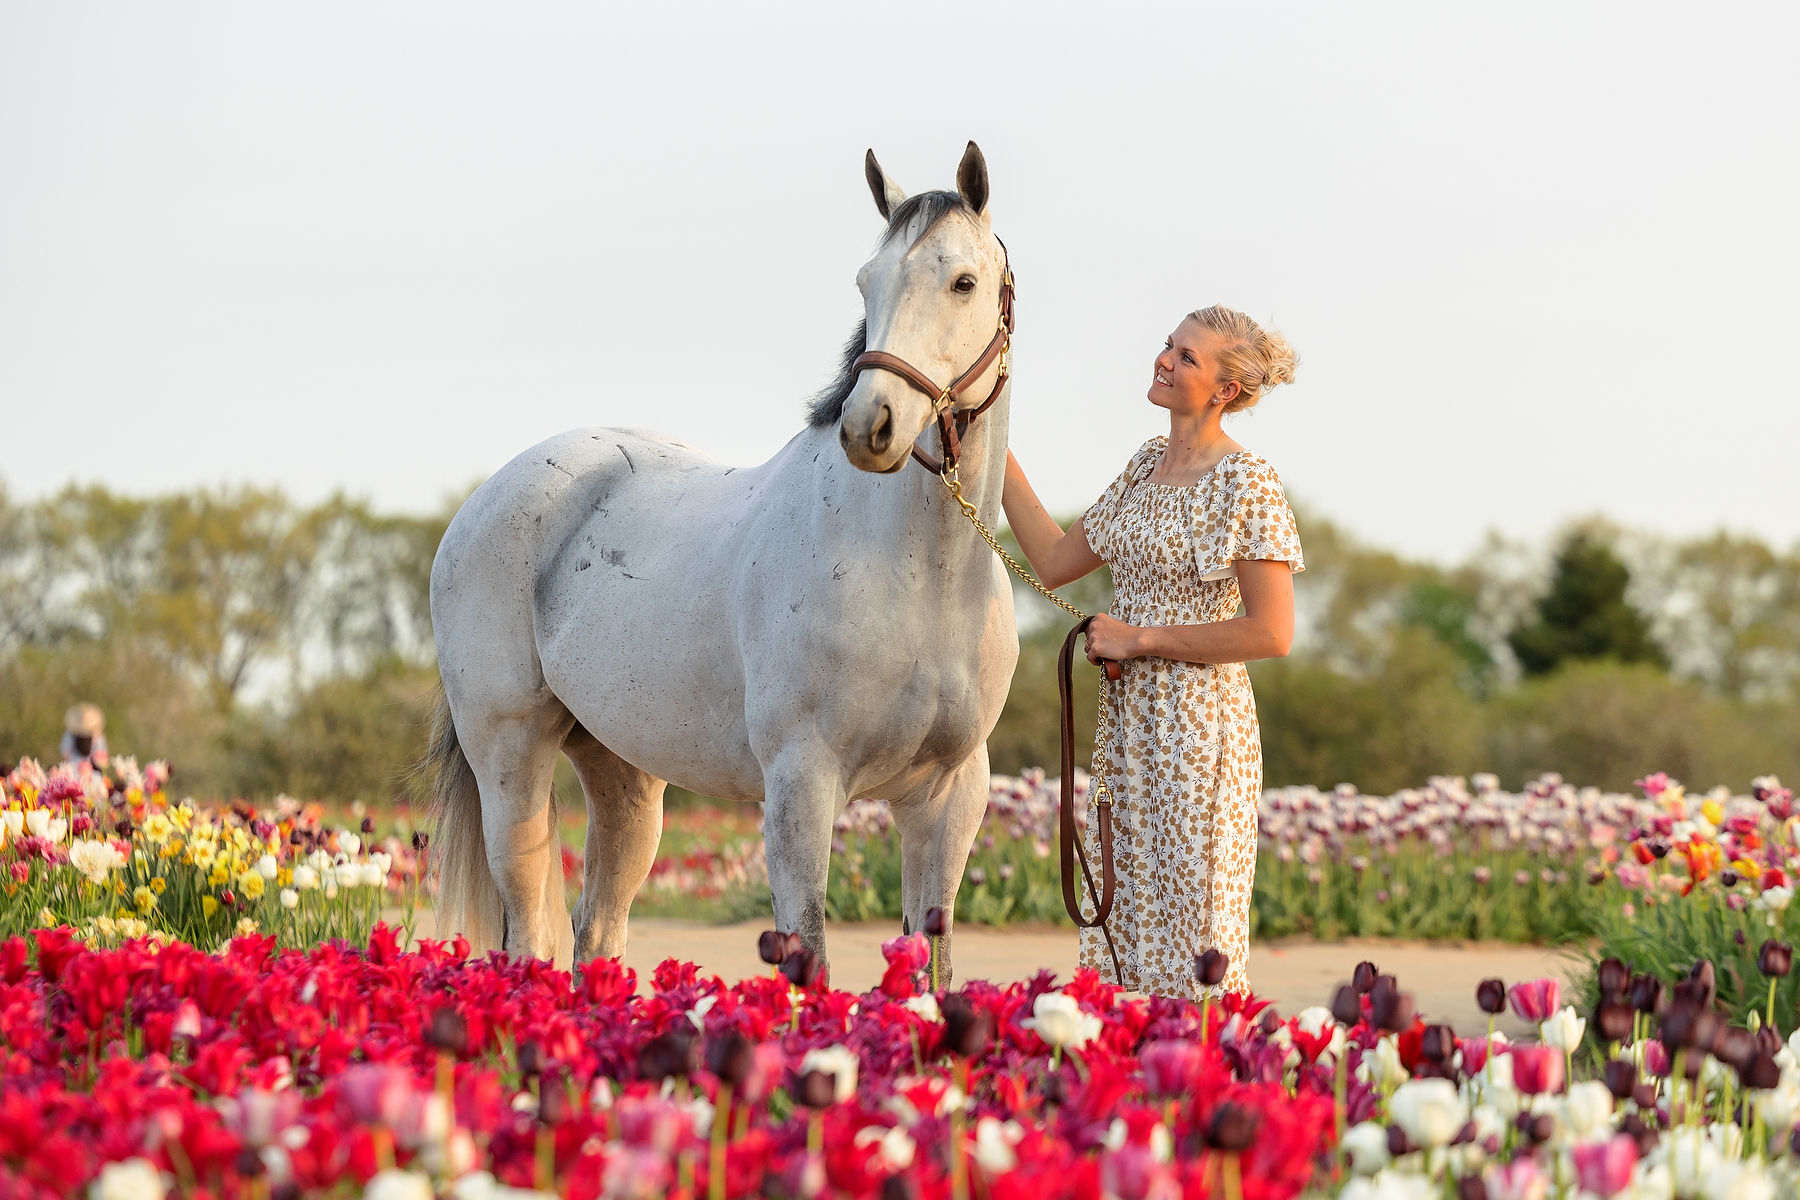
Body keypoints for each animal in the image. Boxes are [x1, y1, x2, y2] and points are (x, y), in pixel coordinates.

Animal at [422, 141, 1019, 983]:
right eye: (866, 281)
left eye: (963, 281)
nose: (870, 426)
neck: (917, 579)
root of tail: (482, 501)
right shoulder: (801, 787)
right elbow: (811, 957)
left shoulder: (950, 797)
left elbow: (932, 967)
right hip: (510, 760)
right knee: (529, 934)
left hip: (625, 776)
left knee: (596, 930)